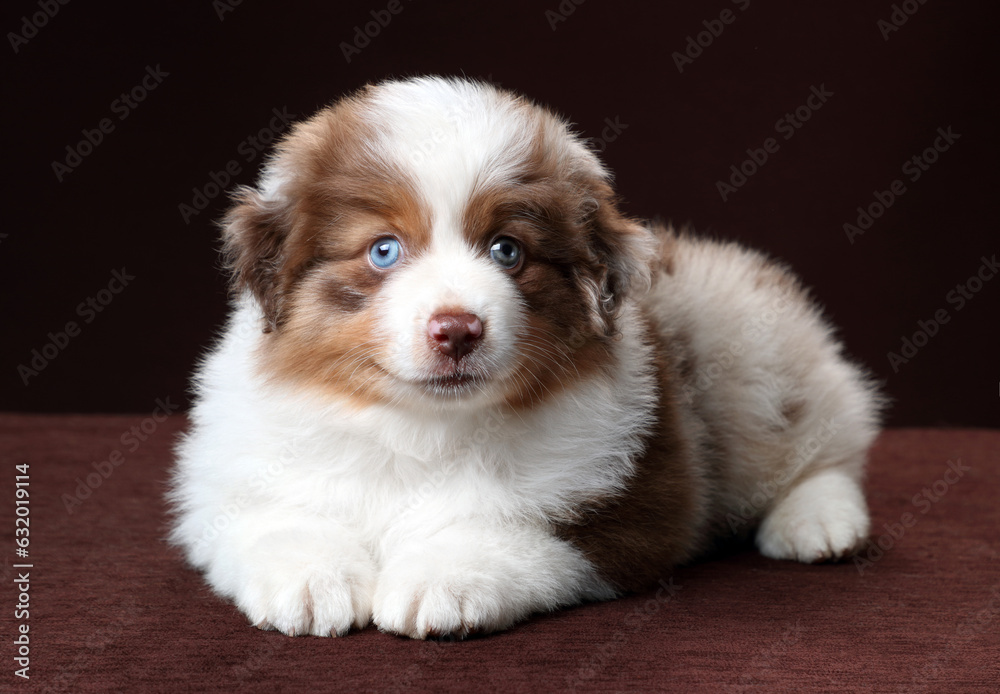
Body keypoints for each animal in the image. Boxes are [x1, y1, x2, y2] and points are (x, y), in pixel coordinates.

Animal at [170, 77, 884, 640]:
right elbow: (270, 516)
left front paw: (440, 580)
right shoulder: (227, 482)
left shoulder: (621, 507)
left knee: (827, 437)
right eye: (383, 250)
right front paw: (311, 580)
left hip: (744, 340)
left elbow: (506, 527)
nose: (457, 330)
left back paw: (821, 522)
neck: (422, 427)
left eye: (507, 250)